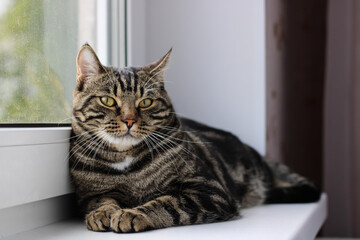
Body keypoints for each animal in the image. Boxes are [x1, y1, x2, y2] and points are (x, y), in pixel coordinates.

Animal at [69, 43, 320, 232]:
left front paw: (132, 214)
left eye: (146, 102)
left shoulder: (208, 191)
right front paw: (102, 213)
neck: (126, 164)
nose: (129, 120)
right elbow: (102, 200)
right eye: (108, 101)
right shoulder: (90, 194)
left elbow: (167, 202)